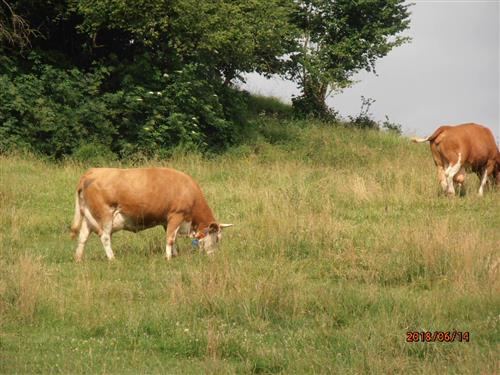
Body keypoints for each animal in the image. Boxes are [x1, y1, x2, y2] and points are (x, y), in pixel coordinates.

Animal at [70, 167, 232, 262]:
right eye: (217, 238)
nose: (213, 255)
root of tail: (91, 172)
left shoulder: (167, 220)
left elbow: (172, 237)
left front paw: (175, 254)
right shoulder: (176, 215)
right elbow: (170, 238)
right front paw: (168, 258)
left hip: (88, 216)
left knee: (83, 236)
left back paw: (78, 258)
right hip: (105, 215)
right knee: (104, 237)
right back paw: (112, 258)